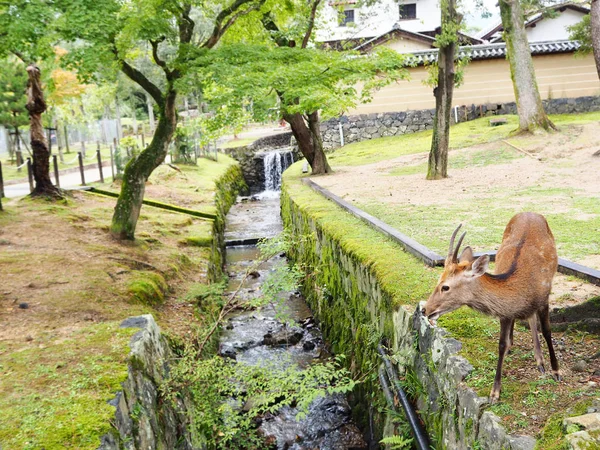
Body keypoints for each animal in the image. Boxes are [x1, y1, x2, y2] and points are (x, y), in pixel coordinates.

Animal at [424, 213, 560, 402]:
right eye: (438, 280)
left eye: (445, 287)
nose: (425, 310)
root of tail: (529, 212)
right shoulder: (505, 313)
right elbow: (501, 344)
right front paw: (495, 392)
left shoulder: (544, 297)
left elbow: (547, 330)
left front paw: (556, 370)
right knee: (528, 318)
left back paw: (541, 361)